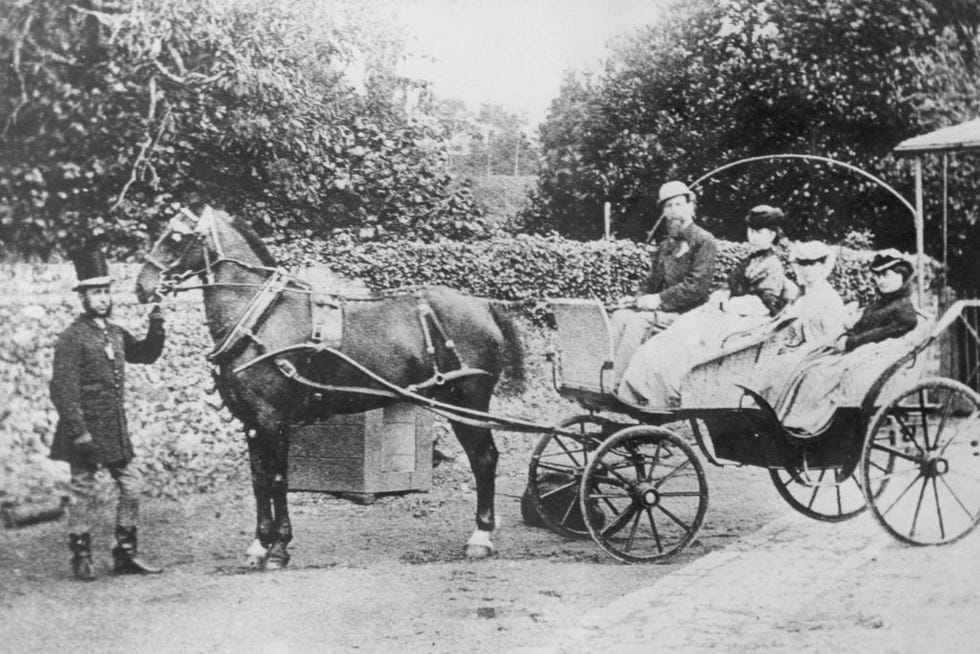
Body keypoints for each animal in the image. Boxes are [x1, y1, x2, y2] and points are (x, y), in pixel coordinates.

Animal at [136, 206, 528, 568]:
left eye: (176, 237)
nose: (142, 286)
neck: (260, 318)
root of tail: (484, 305)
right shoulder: (251, 423)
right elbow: (259, 480)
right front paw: (259, 544)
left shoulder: (273, 420)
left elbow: (277, 479)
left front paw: (278, 548)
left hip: (468, 401)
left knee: (484, 459)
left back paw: (480, 536)